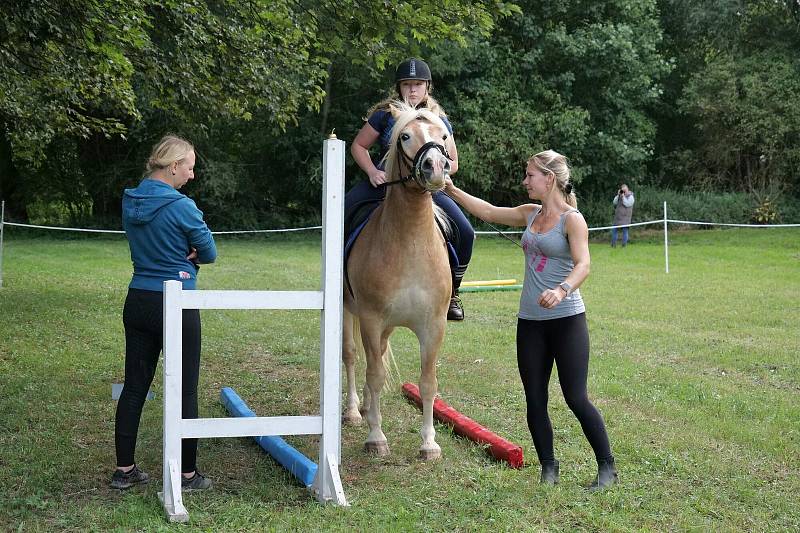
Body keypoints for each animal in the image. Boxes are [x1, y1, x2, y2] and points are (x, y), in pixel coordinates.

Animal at [342, 102, 454, 460]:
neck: (410, 243)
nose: (436, 168)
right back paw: (354, 411)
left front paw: (429, 443)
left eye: (443, 136)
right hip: (351, 312)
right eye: (404, 136)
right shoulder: (371, 318)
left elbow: (428, 381)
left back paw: (366, 408)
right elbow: (375, 373)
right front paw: (376, 437)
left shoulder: (433, 325)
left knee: (375, 354)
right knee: (353, 356)